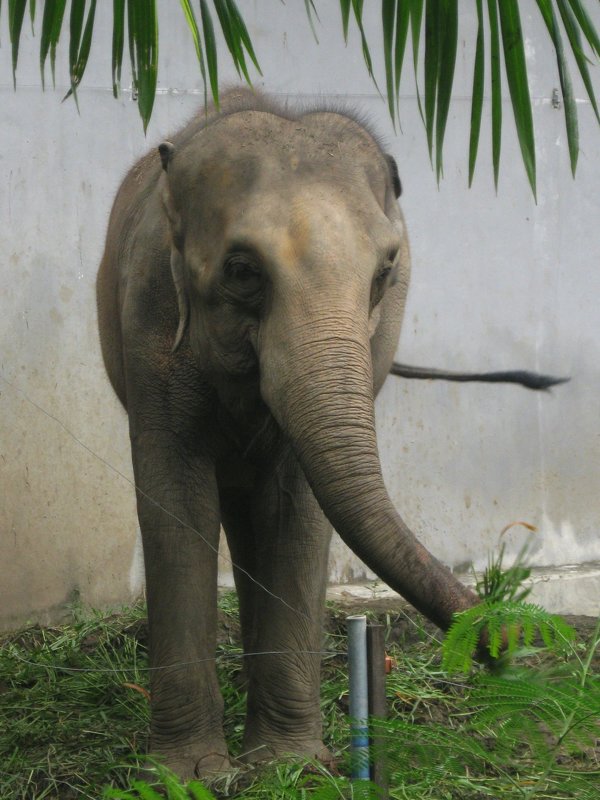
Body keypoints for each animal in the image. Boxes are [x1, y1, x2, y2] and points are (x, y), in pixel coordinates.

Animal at [98, 89, 502, 780]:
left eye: (386, 269)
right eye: (241, 270)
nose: (502, 645)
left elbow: (296, 510)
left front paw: (290, 768)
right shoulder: (149, 317)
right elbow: (176, 504)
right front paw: (187, 776)